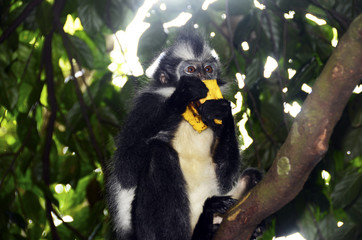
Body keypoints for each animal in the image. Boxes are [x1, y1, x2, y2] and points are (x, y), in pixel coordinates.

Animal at [106, 30, 262, 240]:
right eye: (190, 70)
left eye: (208, 69)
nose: (203, 78)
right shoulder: (147, 105)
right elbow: (126, 170)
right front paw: (180, 98)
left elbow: (226, 178)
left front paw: (223, 114)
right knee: (158, 153)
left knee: (253, 176)